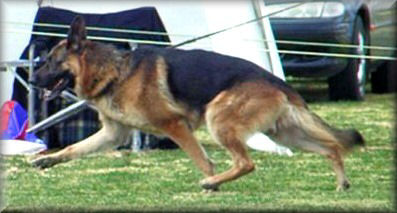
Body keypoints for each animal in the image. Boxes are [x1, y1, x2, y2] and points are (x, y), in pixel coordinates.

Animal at [31, 16, 362, 191]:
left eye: (51, 63)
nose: (33, 79)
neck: (113, 71)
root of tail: (280, 83)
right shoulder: (114, 134)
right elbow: (74, 149)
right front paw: (47, 160)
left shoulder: (174, 125)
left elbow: (203, 161)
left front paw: (211, 182)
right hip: (284, 134)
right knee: (332, 147)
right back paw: (342, 184)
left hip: (219, 119)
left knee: (246, 163)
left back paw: (212, 182)